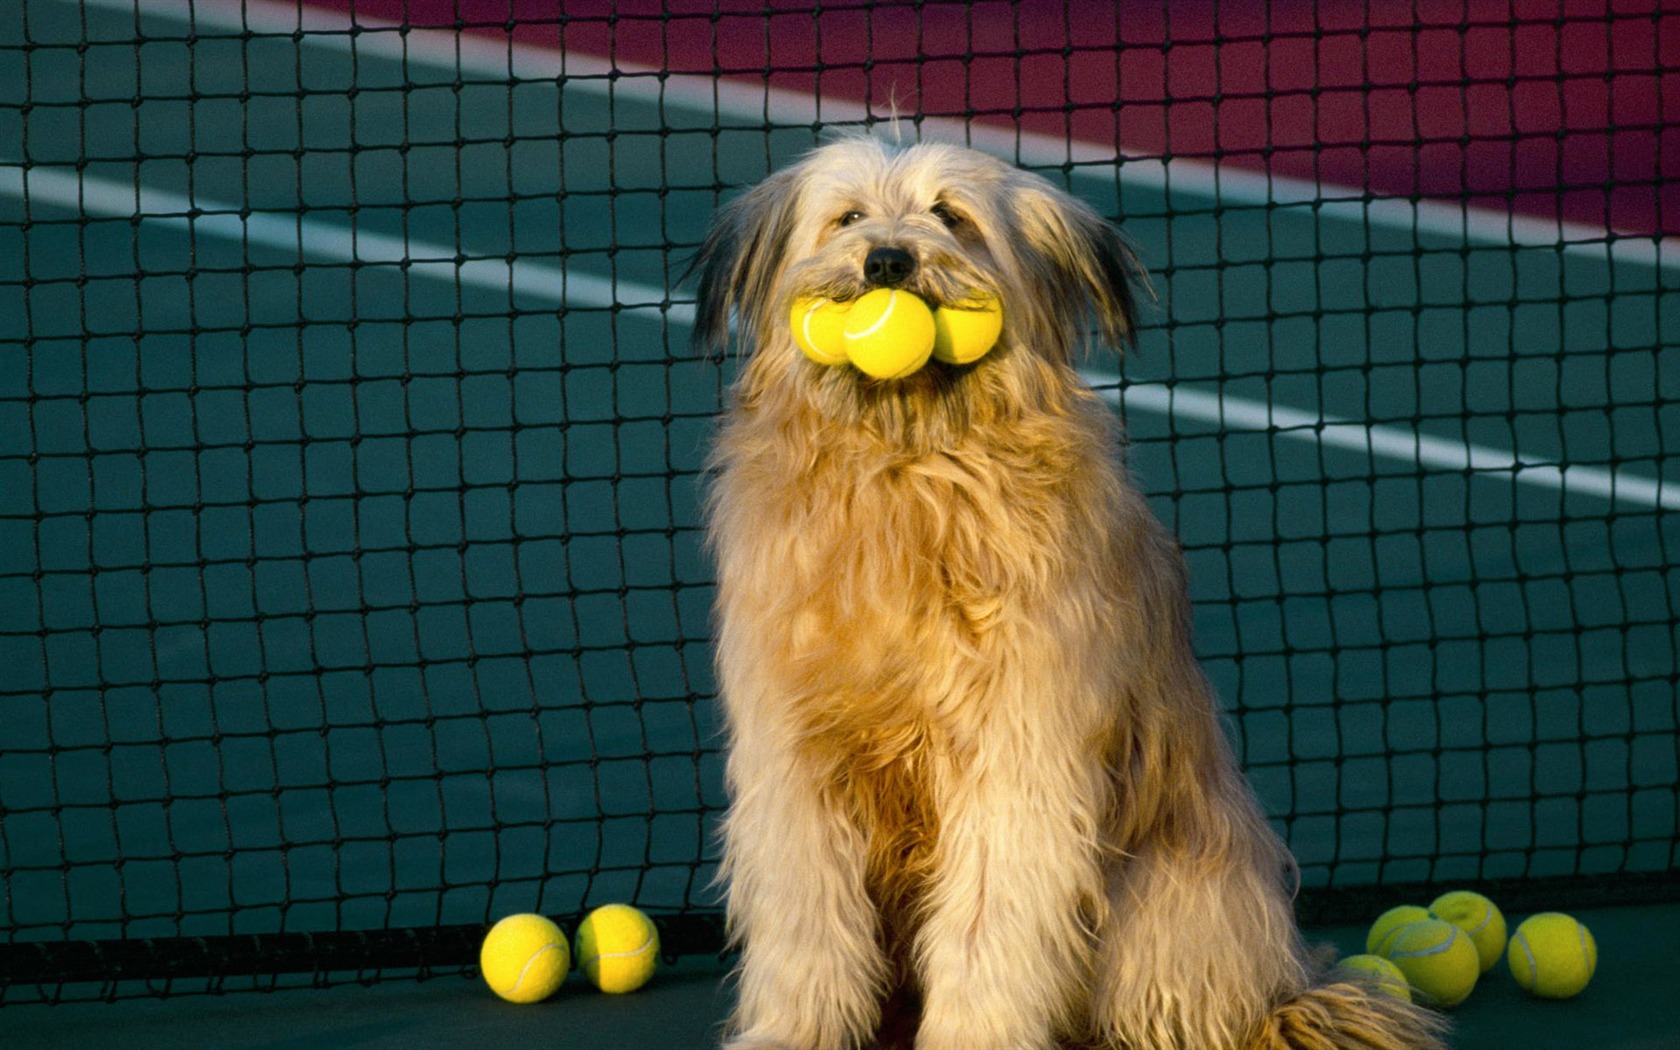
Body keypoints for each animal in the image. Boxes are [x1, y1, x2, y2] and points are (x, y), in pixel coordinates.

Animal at [695, 136, 1444, 1048]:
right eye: (847, 217)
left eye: (951, 216)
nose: (888, 261)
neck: (909, 466)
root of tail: (1286, 988)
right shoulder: (794, 757)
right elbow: (807, 917)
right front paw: (793, 1031)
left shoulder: (1019, 751)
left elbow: (991, 916)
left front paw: (974, 1035)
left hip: (1171, 900)